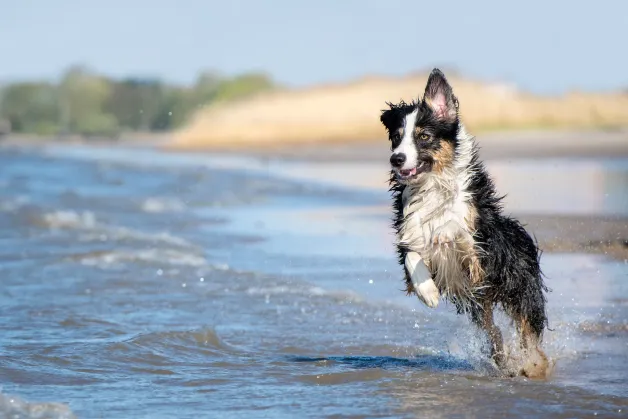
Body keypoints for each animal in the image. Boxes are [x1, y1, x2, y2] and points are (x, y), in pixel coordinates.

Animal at [378, 69, 548, 380]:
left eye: (424, 136)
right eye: (396, 137)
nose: (396, 159)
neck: (432, 186)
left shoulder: (481, 241)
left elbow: (460, 234)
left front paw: (448, 235)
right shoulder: (409, 233)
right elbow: (412, 256)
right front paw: (428, 293)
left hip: (521, 289)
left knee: (528, 332)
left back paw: (534, 365)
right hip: (480, 306)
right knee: (495, 333)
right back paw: (502, 360)